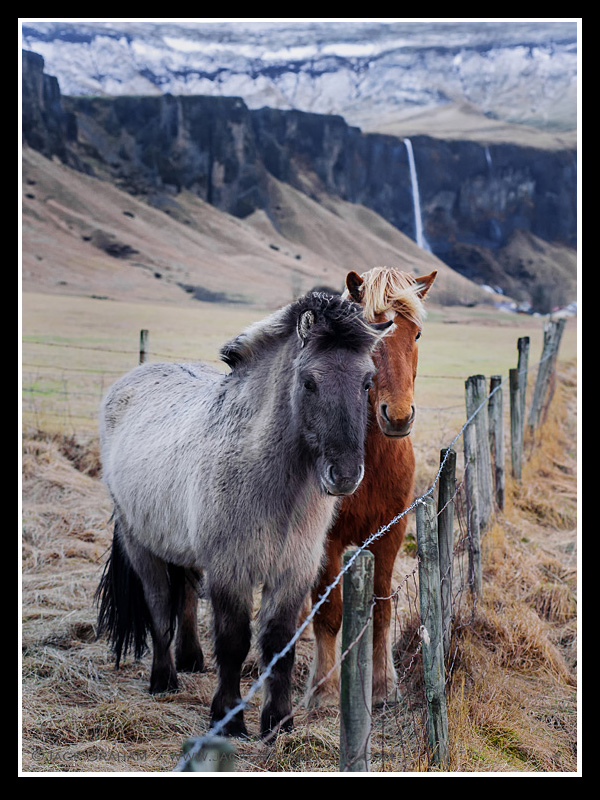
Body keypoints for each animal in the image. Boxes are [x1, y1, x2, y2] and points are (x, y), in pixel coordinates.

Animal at [95, 291, 392, 739]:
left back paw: (191, 660)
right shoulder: (230, 569)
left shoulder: (293, 571)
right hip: (140, 544)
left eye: (367, 382)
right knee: (160, 608)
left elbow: (279, 643)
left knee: (184, 597)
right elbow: (234, 641)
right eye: (309, 382)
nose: (344, 475)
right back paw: (164, 679)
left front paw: (278, 721)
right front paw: (228, 718)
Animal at [308, 267, 437, 707]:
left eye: (417, 335)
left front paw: (383, 683)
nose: (397, 416)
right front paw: (325, 689)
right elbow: (329, 613)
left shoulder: (390, 534)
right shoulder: (327, 542)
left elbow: (381, 607)